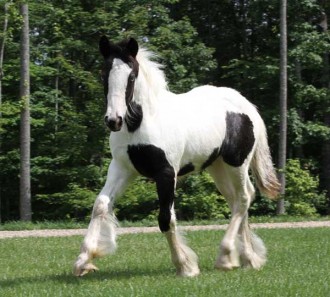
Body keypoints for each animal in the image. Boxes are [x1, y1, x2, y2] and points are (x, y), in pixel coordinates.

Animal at [73, 35, 280, 276]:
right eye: (103, 74)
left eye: (131, 76)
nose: (113, 120)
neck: (142, 122)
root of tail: (247, 106)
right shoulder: (122, 168)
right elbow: (100, 205)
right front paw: (84, 261)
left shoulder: (166, 173)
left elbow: (166, 218)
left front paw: (185, 265)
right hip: (218, 167)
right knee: (238, 199)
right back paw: (248, 258)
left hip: (237, 163)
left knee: (244, 197)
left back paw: (227, 256)